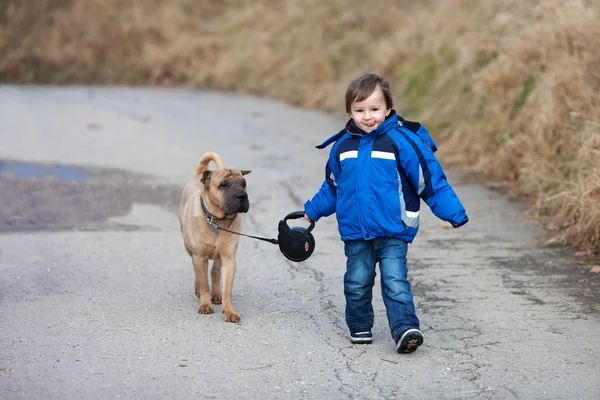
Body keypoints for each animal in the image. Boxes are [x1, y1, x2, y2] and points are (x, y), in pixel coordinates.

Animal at [179, 152, 252, 324]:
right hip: (190, 249)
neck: (217, 220)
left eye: (244, 183)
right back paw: (199, 289)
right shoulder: (200, 257)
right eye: (223, 185)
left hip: (219, 256)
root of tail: (200, 173)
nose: (242, 195)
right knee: (198, 272)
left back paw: (216, 294)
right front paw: (205, 304)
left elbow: (227, 289)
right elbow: (204, 283)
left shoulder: (229, 259)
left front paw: (229, 311)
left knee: (215, 271)